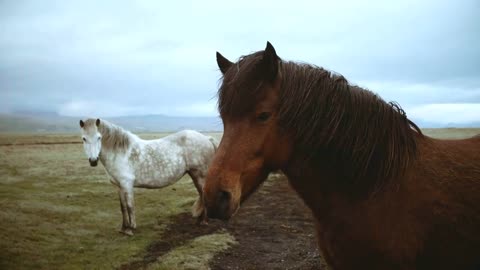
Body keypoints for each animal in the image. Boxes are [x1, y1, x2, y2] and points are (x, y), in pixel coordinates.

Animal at [78, 117, 217, 234]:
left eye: (99, 137)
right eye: (84, 138)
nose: (93, 161)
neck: (120, 153)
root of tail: (207, 138)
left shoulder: (127, 184)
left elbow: (130, 206)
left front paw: (131, 229)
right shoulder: (118, 186)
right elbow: (123, 207)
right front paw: (123, 228)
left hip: (199, 176)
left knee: (204, 195)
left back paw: (203, 221)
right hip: (194, 175)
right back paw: (199, 220)